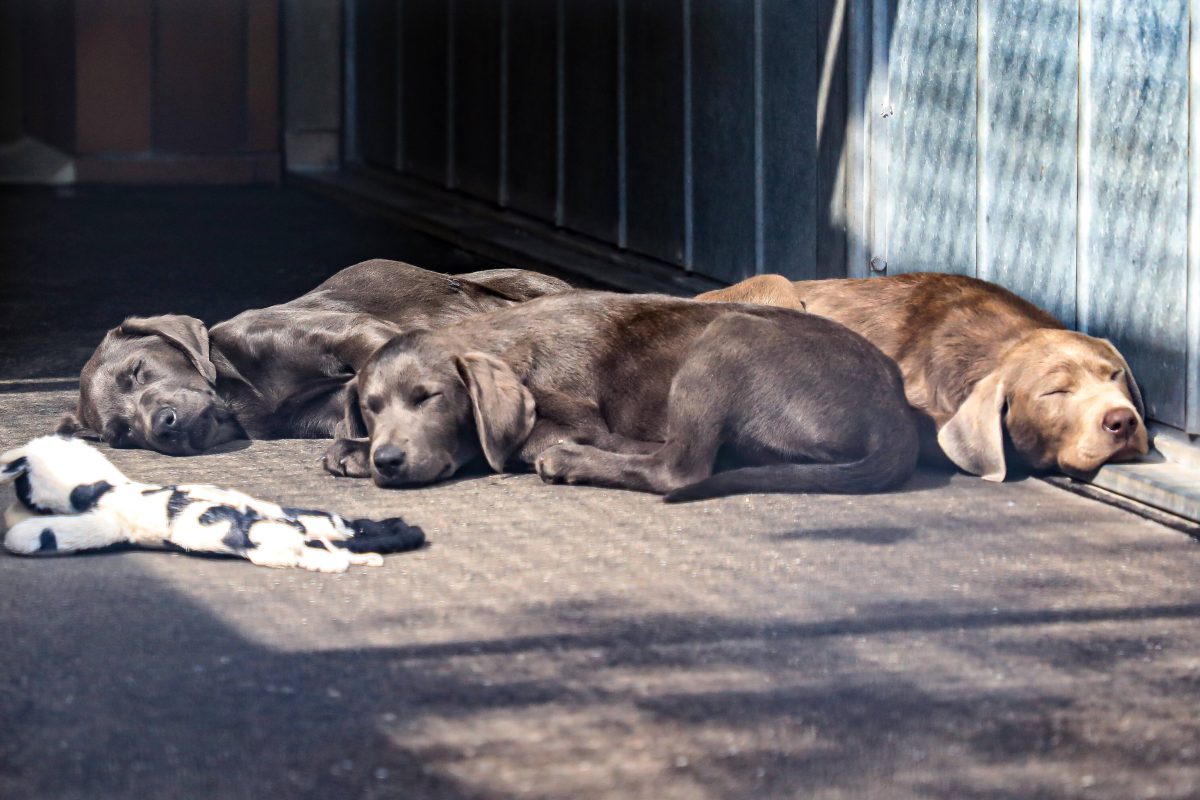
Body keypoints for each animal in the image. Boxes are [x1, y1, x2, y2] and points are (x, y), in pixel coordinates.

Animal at [58, 260, 573, 453]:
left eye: (137, 372)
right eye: (122, 434)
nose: (162, 426)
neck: (244, 396)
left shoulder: (351, 332)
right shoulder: (321, 414)